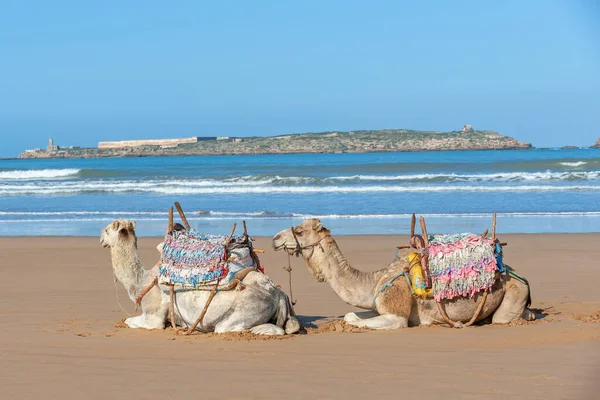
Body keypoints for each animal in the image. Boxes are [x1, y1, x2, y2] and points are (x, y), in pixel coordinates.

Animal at [102, 219, 304, 334]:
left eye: (106, 230)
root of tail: (279, 295)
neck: (141, 282)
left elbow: (128, 320)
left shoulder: (154, 317)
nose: (101, 239)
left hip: (243, 313)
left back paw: (259, 330)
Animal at [272, 220, 536, 330]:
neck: (374, 281)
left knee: (502, 318)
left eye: (299, 231)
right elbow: (351, 314)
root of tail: (516, 274)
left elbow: (356, 319)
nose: (274, 238)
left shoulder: (396, 312)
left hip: (514, 292)